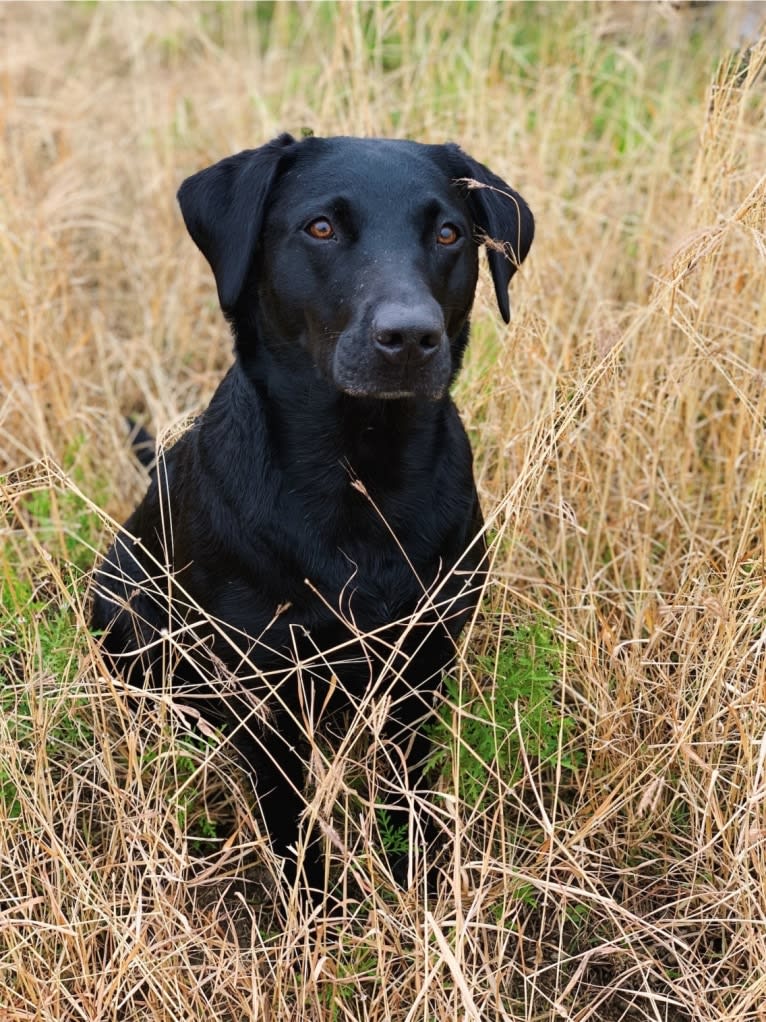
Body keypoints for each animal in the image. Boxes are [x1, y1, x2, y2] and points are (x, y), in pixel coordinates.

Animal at [92, 133, 535, 895]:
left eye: (449, 234)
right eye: (321, 228)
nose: (409, 337)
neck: (361, 470)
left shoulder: (422, 663)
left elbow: (408, 785)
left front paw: (416, 874)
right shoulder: (263, 681)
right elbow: (285, 809)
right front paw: (315, 900)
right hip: (123, 611)